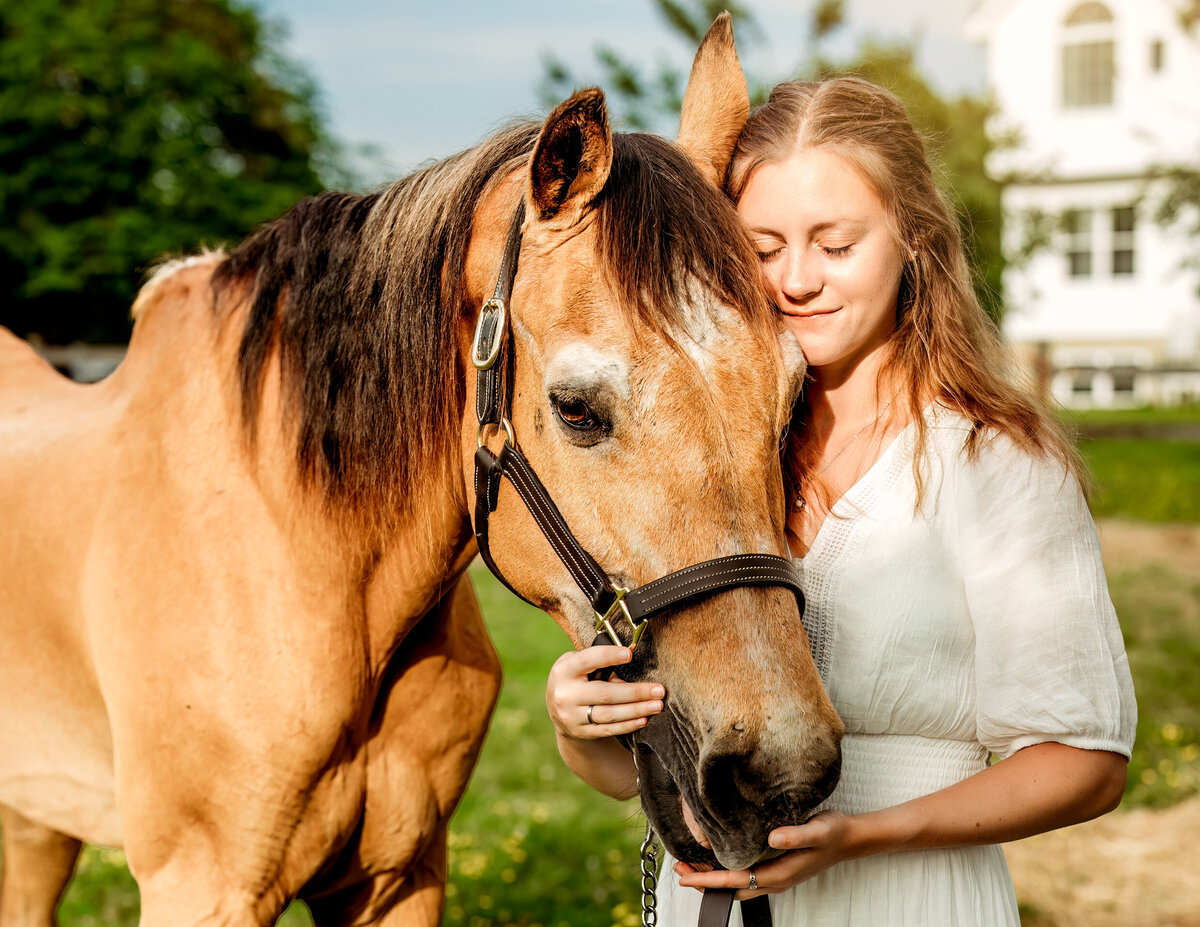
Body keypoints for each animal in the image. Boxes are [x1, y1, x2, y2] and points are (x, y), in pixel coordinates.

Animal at [0, 16, 840, 927]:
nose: (780, 770)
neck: (306, 564)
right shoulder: (202, 886)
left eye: (795, 396)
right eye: (576, 408)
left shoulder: (400, 874)